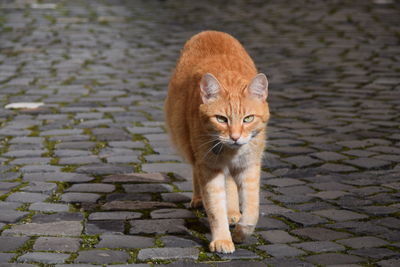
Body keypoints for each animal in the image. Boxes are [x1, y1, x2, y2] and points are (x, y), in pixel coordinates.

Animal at [164, 30, 270, 254]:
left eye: (248, 118)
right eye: (221, 119)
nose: (235, 137)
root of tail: (210, 32)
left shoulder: (249, 167)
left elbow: (252, 210)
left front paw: (240, 232)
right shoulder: (209, 167)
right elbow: (215, 207)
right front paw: (222, 238)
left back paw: (233, 212)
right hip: (189, 145)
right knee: (197, 172)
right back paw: (199, 199)